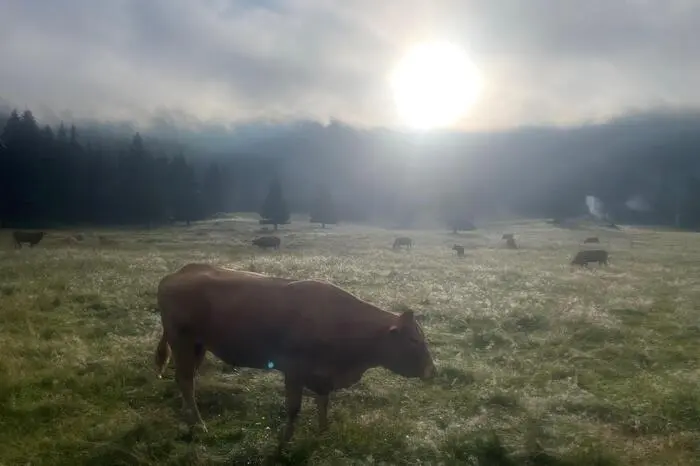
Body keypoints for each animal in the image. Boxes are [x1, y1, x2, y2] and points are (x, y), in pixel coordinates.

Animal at [154, 264, 436, 450]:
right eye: (414, 340)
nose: (432, 370)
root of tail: (178, 273)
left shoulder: (322, 376)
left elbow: (323, 403)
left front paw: (323, 433)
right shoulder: (294, 370)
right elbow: (294, 408)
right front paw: (285, 439)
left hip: (198, 346)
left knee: (185, 379)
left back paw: (188, 416)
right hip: (182, 342)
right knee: (186, 381)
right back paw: (199, 423)